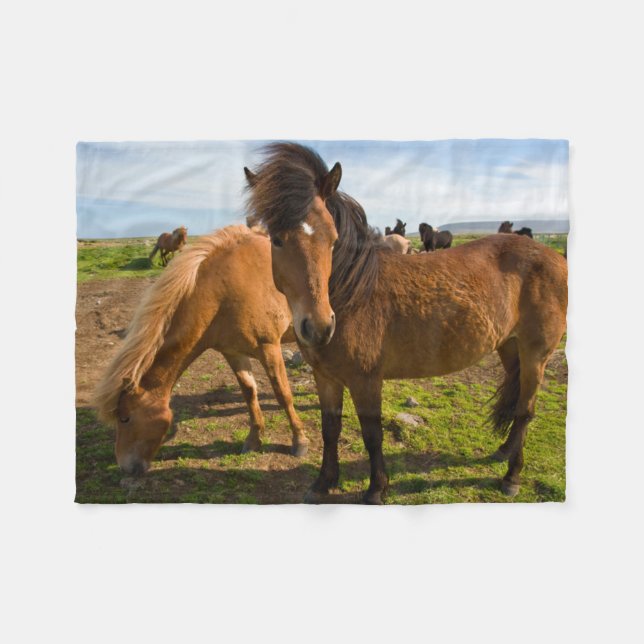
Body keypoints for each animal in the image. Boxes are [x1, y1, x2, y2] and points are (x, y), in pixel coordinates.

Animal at [94, 225, 309, 476]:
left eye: (125, 419)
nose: (125, 467)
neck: (223, 291)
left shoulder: (269, 348)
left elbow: (283, 394)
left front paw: (299, 441)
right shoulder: (233, 353)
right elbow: (249, 393)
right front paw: (254, 440)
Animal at [244, 143, 568, 504]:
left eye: (332, 238)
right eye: (276, 239)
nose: (319, 327)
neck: (354, 293)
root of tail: (555, 257)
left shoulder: (366, 380)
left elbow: (372, 434)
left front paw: (376, 489)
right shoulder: (325, 377)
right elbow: (331, 430)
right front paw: (323, 482)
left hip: (536, 354)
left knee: (526, 411)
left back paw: (511, 476)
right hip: (509, 347)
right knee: (517, 402)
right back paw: (502, 451)